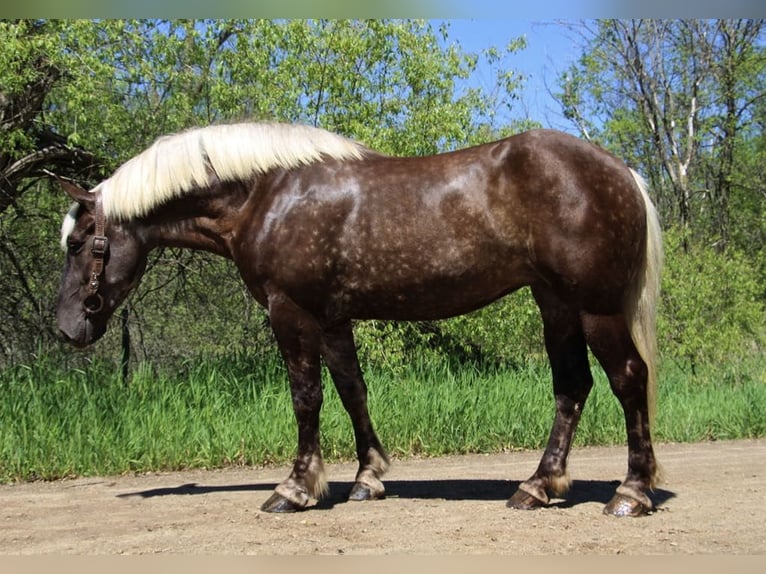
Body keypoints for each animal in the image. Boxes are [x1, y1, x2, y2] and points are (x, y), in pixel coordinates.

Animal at [55, 121, 664, 516]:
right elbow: (352, 390)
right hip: (555, 304)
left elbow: (306, 396)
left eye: (80, 242)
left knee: (627, 379)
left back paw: (631, 493)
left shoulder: (291, 311)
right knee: (572, 387)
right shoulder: (331, 319)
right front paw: (368, 479)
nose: (66, 327)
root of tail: (622, 171)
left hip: (595, 308)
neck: (265, 194)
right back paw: (538, 486)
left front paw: (295, 488)